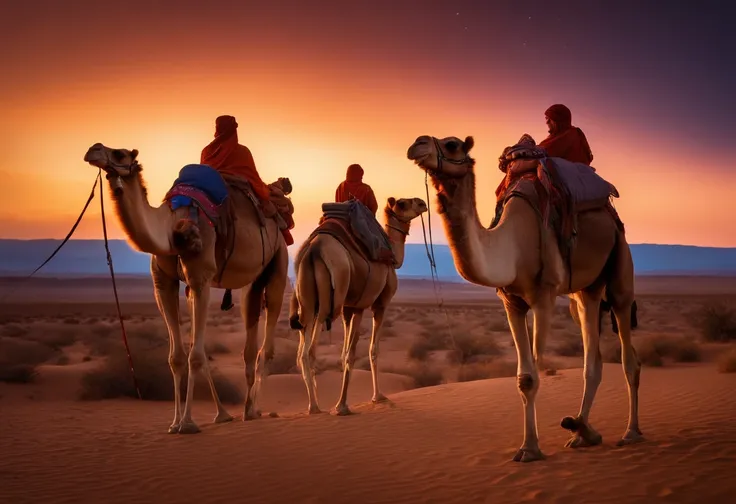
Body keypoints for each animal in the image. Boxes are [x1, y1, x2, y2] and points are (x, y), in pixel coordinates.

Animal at [81, 144, 288, 436]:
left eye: (120, 153)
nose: (93, 150)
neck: (171, 225)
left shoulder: (201, 277)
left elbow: (196, 356)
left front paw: (188, 423)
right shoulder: (162, 282)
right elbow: (177, 357)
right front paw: (175, 422)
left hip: (279, 261)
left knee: (267, 346)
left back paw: (255, 408)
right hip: (252, 278)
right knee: (249, 331)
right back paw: (246, 410)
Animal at [286, 199, 426, 416]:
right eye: (403, 203)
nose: (422, 203)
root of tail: (313, 250)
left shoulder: (349, 308)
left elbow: (345, 352)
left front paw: (342, 403)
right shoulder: (374, 305)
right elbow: (367, 350)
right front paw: (368, 399)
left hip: (306, 301)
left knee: (301, 349)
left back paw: (313, 406)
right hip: (328, 303)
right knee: (310, 351)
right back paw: (317, 406)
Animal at [406, 136, 640, 462]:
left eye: (452, 144)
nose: (417, 144)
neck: (512, 247)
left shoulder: (543, 297)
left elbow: (535, 373)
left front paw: (534, 446)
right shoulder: (511, 303)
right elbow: (523, 378)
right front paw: (529, 446)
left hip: (620, 258)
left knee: (628, 351)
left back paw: (630, 432)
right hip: (585, 292)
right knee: (591, 356)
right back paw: (582, 431)